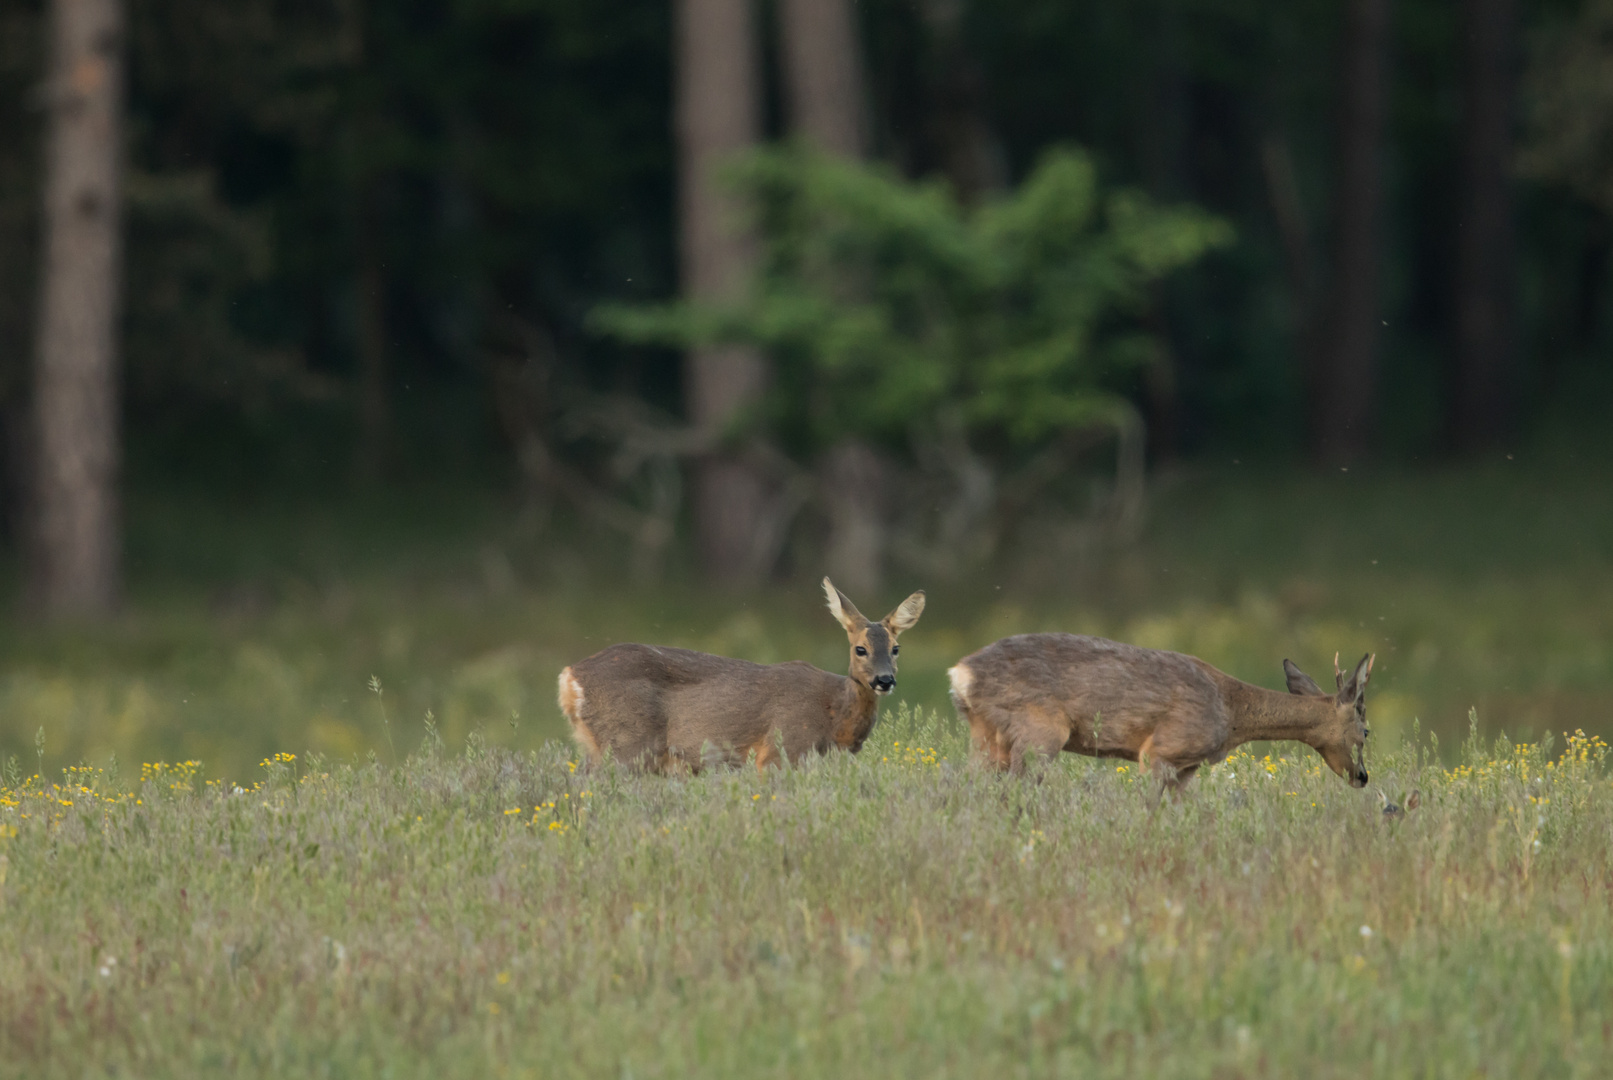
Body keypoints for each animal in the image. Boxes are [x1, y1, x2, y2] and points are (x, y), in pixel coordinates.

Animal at [558, 580, 929, 773]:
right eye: (860, 648)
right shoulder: (783, 748)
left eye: (896, 648)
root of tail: (569, 677)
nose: (884, 680)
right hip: (628, 745)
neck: (835, 717)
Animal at [941, 631, 1374, 799]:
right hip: (1039, 732)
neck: (1230, 712)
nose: (1363, 777)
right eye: (1366, 731)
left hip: (985, 735)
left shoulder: (1188, 768)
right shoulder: (1162, 750)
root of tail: (959, 673)